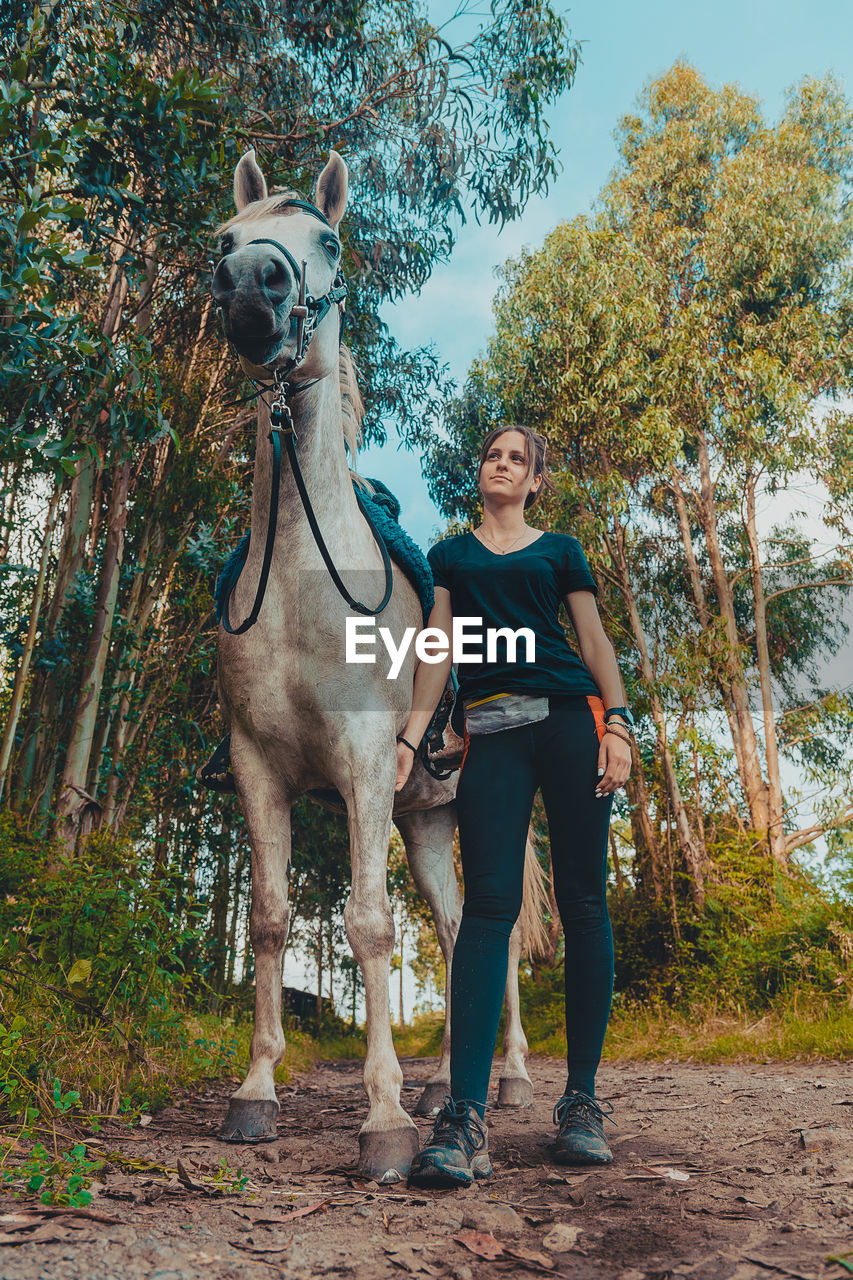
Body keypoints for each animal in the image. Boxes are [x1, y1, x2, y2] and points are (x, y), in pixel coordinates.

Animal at [210, 149, 540, 1177]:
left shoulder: (360, 766)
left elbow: (364, 924)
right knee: (456, 929)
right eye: (227, 238)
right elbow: (271, 920)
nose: (251, 286)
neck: (298, 578)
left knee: (490, 932)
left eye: (325, 239)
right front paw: (256, 1091)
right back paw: (448, 1084)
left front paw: (385, 1118)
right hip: (425, 822)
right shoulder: (258, 771)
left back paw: (509, 1078)